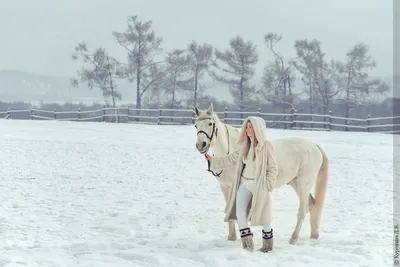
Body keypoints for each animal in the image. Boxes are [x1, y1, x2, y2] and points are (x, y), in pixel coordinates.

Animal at [194, 103, 328, 246]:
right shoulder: (225, 187)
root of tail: (314, 146)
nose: (201, 145)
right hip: (296, 183)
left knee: (303, 210)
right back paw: (313, 235)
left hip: (304, 184)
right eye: (196, 125)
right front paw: (231, 237)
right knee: (312, 205)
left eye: (210, 123)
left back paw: (293, 239)